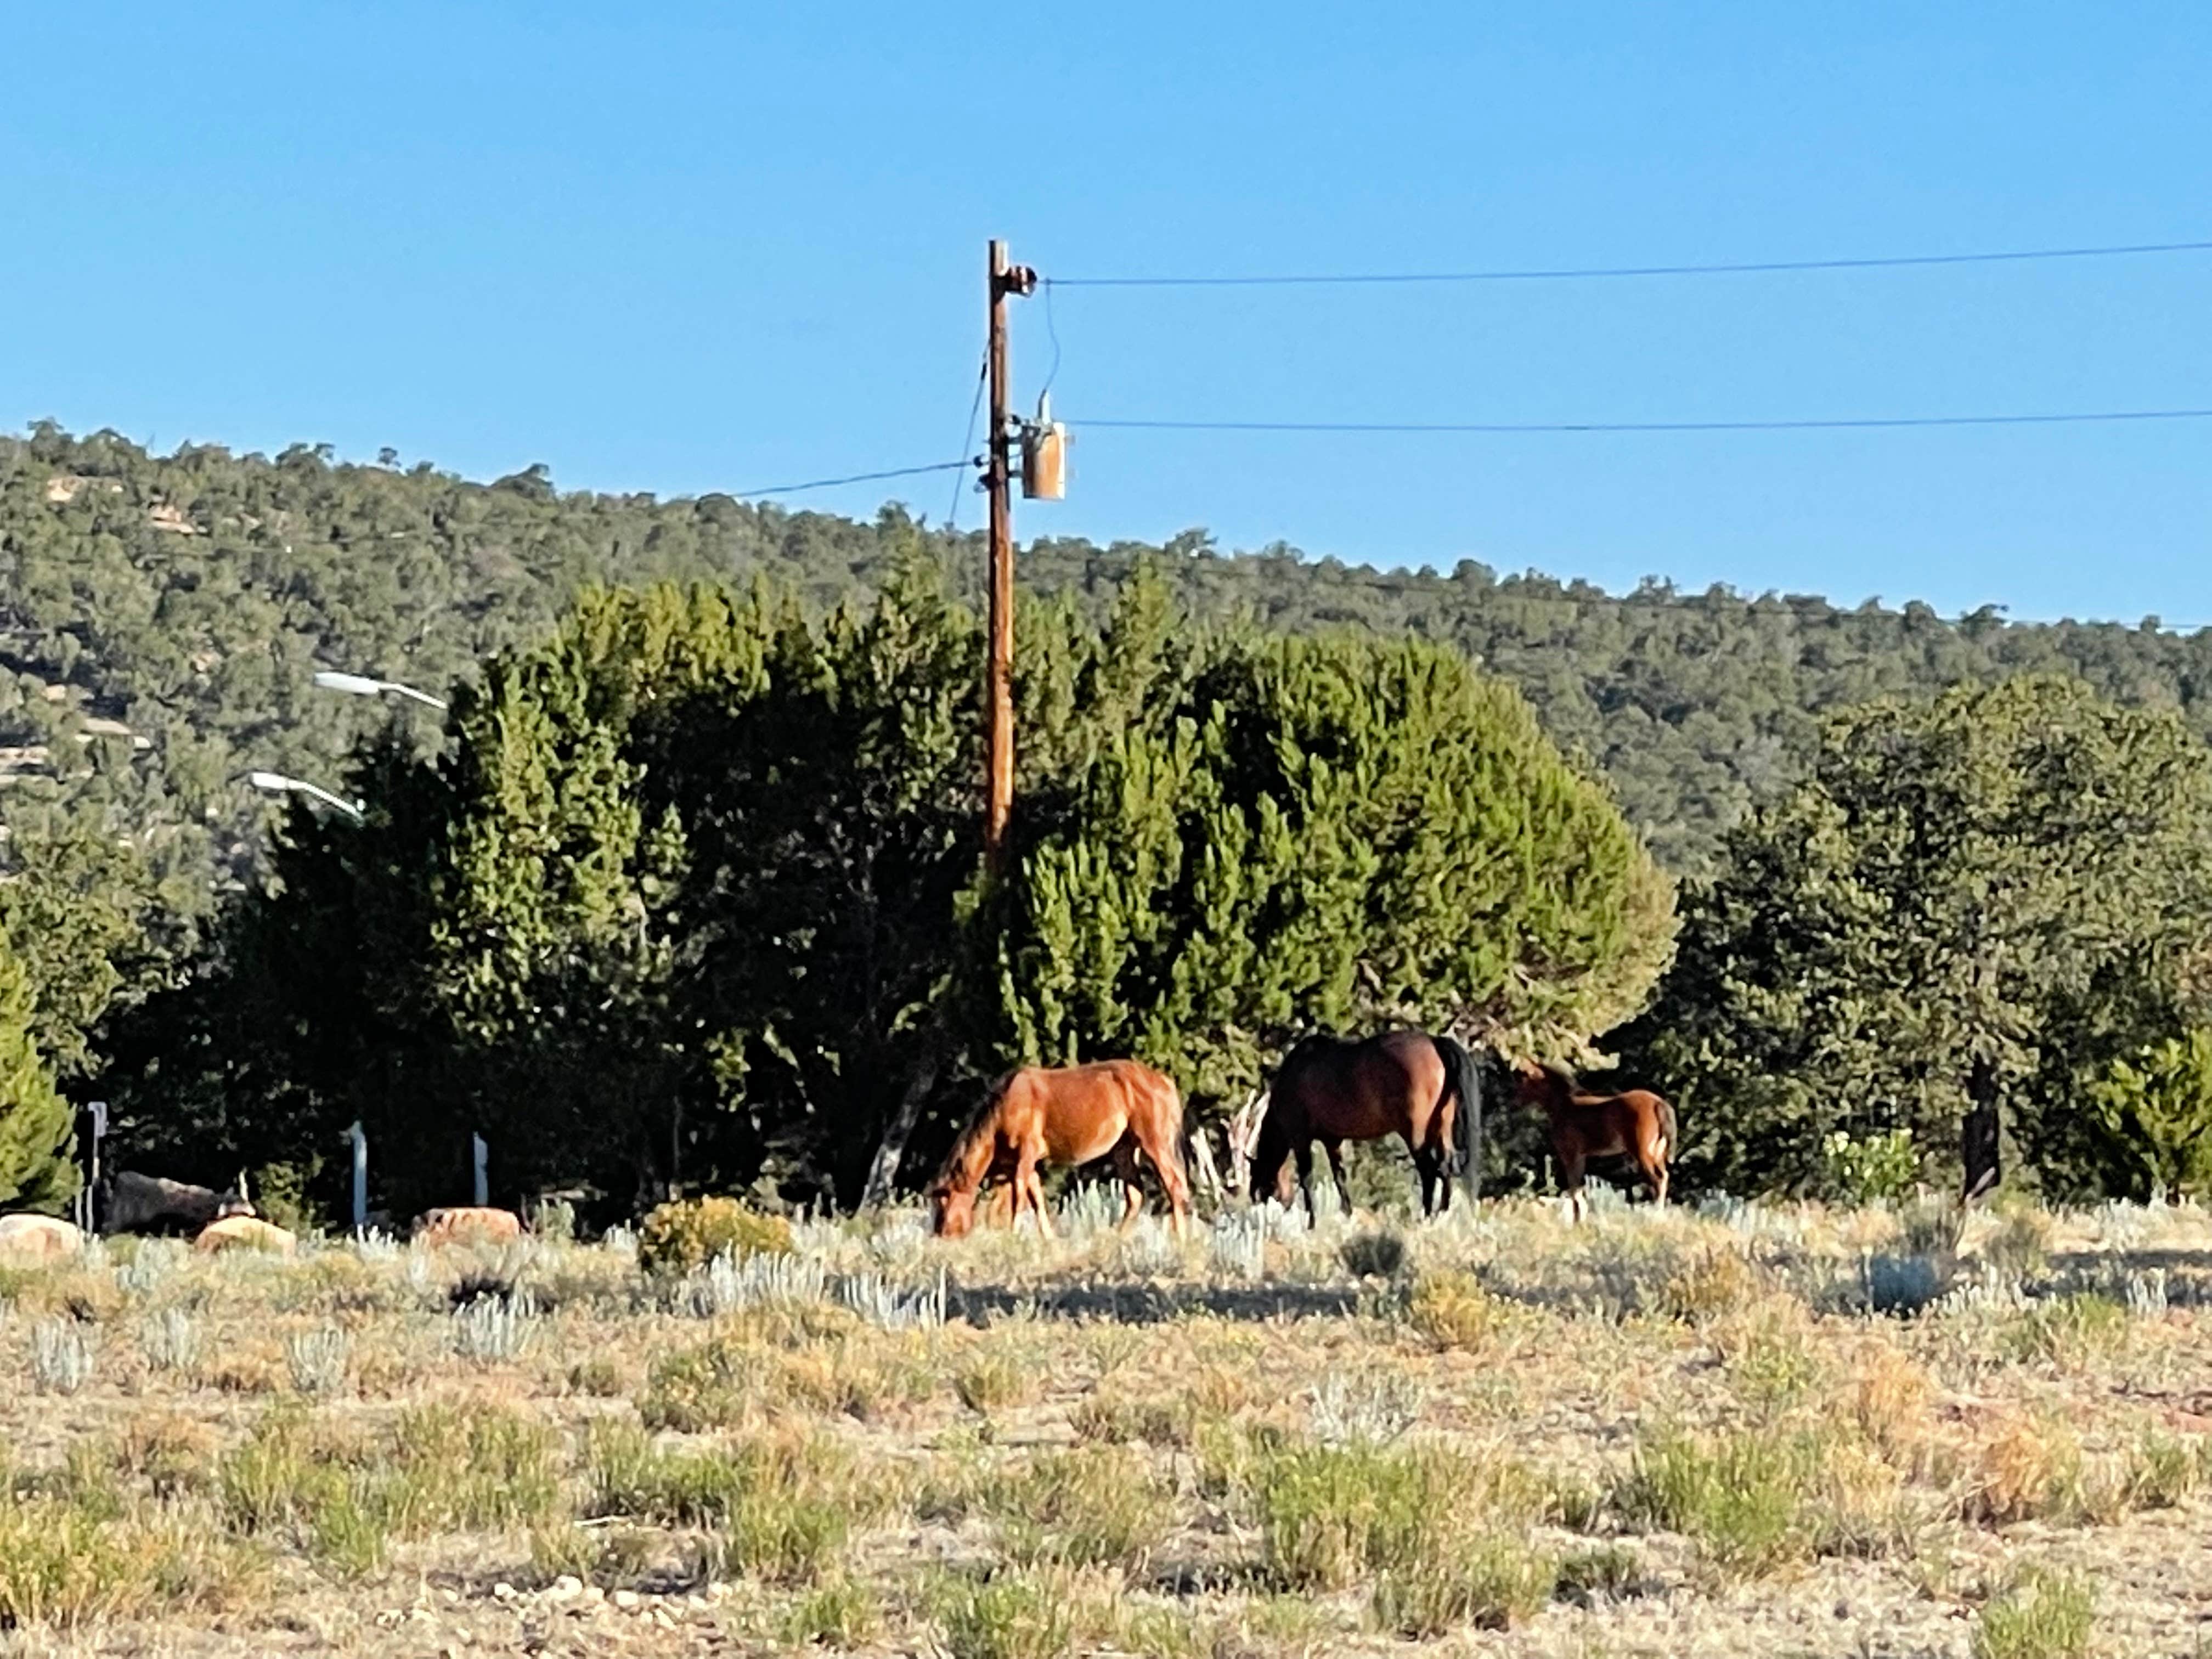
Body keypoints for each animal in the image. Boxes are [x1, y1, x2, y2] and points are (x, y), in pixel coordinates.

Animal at [928, 1060, 1191, 1242]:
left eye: (942, 1203)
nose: (939, 1235)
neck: (1001, 1111)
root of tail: (1164, 1081)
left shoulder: (1025, 1156)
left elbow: (1018, 1199)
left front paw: (1014, 1235)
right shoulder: (1021, 1166)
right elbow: (1035, 1199)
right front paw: (1048, 1237)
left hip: (1156, 1144)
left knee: (1174, 1185)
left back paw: (1181, 1237)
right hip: (1125, 1150)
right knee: (1135, 1196)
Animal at [1252, 1029, 1480, 1221]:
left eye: (1259, 1179)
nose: (1256, 1203)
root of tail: (1434, 1042)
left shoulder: (1301, 1140)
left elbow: (1307, 1180)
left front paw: (1312, 1222)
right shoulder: (1332, 1141)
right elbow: (1340, 1177)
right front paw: (1347, 1214)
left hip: (1415, 1134)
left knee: (1429, 1171)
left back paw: (1425, 1216)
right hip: (1441, 1130)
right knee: (1446, 1165)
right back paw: (1441, 1213)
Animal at [1513, 1061, 1676, 1222]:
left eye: (1522, 1079)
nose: (1515, 1101)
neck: (1564, 1105)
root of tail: (1658, 1103)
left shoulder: (1570, 1156)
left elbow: (1574, 1190)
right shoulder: (1580, 1157)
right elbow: (1578, 1189)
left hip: (1642, 1153)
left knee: (1658, 1179)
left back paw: (1657, 1216)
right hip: (1658, 1153)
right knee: (1665, 1176)